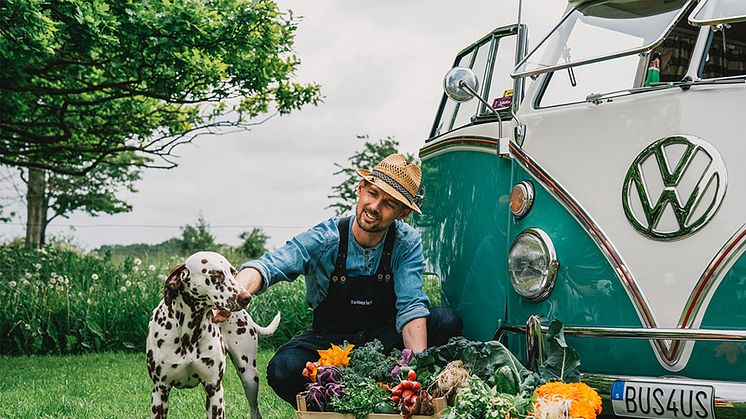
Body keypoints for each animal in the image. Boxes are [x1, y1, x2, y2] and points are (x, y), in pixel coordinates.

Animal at [147, 253, 280, 419]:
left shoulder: (214, 389)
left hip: (249, 376)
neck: (190, 333)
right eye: (216, 275)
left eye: (233, 272)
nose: (247, 297)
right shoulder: (160, 391)